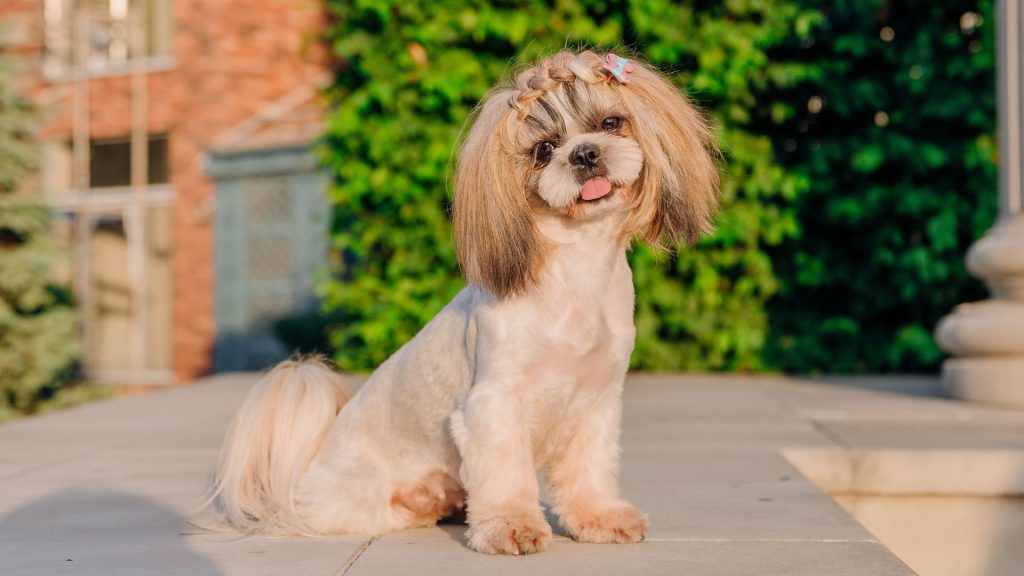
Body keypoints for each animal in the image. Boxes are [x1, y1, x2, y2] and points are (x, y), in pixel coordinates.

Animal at [209, 50, 720, 557]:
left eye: (611, 122)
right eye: (543, 150)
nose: (585, 153)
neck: (576, 271)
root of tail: (300, 481)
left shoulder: (596, 402)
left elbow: (589, 468)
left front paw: (599, 518)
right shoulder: (495, 403)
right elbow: (506, 474)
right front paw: (510, 527)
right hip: (357, 504)